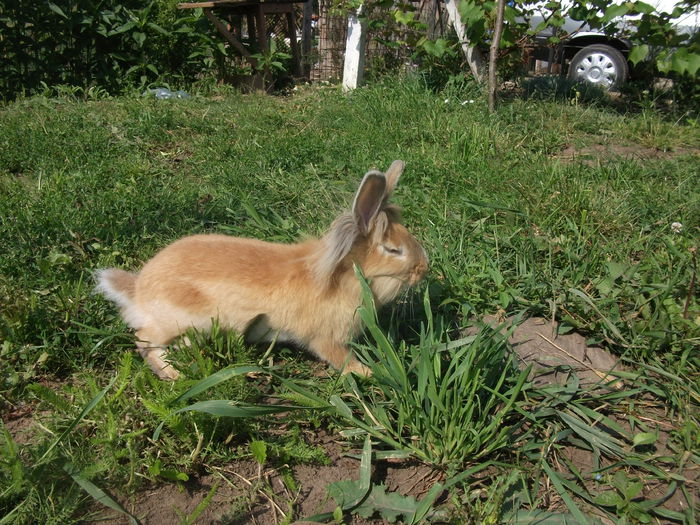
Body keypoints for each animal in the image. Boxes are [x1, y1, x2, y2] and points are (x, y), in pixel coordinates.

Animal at [96, 160, 430, 376]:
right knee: (143, 339)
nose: (424, 268)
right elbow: (342, 360)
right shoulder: (326, 339)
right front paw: (372, 373)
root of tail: (138, 291)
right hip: (181, 319)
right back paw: (173, 375)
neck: (345, 276)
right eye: (393, 250)